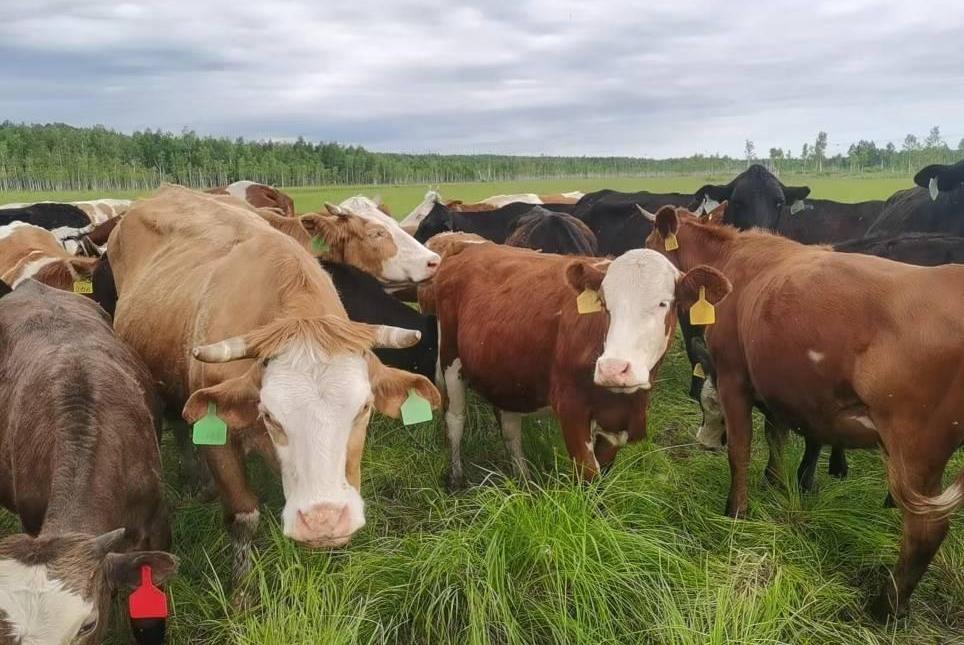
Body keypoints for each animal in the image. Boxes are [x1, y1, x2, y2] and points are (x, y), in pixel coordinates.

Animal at [107, 185, 441, 584]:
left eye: (364, 408)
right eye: (269, 415)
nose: (323, 519)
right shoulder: (219, 438)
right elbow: (243, 517)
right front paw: (243, 588)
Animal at [425, 239, 730, 489]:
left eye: (663, 304)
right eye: (604, 303)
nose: (613, 369)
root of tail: (468, 246)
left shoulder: (616, 423)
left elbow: (603, 475)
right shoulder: (571, 410)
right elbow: (588, 475)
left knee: (510, 427)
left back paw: (524, 480)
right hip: (450, 358)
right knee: (455, 419)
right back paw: (456, 478)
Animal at [645, 205, 964, 619]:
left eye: (649, 244)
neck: (730, 262)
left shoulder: (733, 377)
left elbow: (741, 450)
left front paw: (736, 510)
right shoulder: (775, 382)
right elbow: (776, 436)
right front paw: (776, 482)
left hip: (916, 446)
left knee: (926, 530)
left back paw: (884, 607)